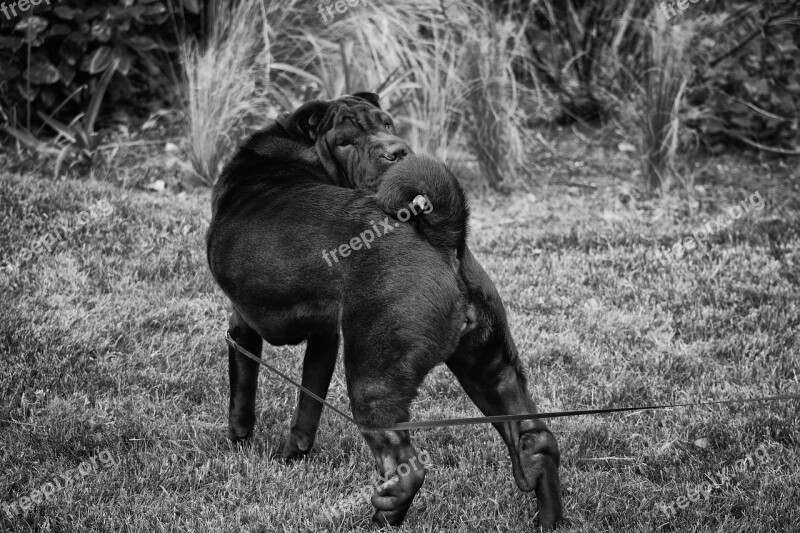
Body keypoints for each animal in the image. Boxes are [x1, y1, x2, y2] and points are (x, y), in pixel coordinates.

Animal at [206, 93, 564, 524]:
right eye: (345, 141)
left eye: (387, 123)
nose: (397, 150)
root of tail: (442, 236)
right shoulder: (325, 336)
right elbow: (308, 406)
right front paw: (293, 455)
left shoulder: (241, 323)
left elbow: (242, 391)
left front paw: (239, 441)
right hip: (488, 364)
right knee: (536, 440)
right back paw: (550, 520)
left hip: (373, 378)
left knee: (406, 467)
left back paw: (383, 514)